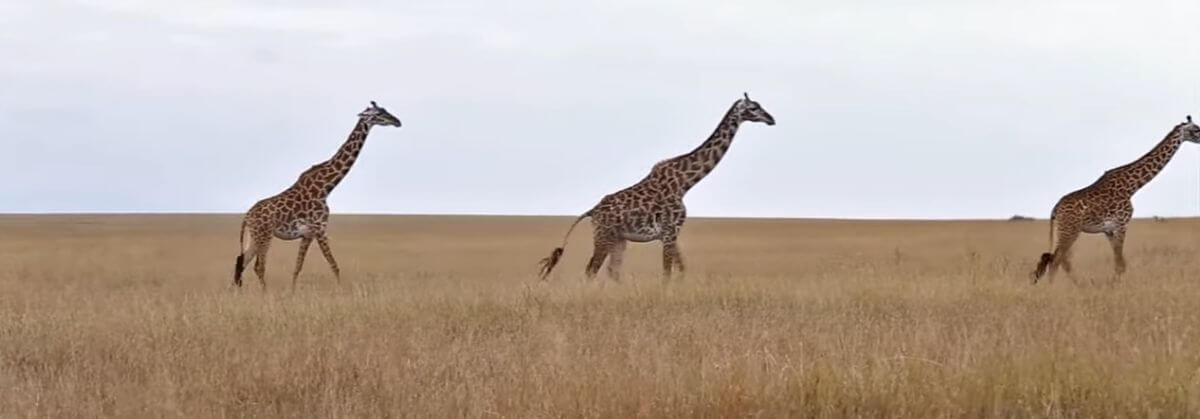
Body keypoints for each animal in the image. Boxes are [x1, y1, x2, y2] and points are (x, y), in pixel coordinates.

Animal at [232, 102, 403, 290]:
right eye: (379, 113)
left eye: (385, 110)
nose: (398, 121)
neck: (325, 188)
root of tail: (247, 217)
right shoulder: (320, 228)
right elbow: (334, 264)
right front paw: (340, 290)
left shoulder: (308, 234)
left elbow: (298, 267)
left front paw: (292, 292)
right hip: (264, 235)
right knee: (258, 266)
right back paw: (264, 293)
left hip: (254, 236)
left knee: (241, 260)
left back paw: (236, 292)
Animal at [537, 92, 777, 278]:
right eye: (754, 107)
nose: (771, 119)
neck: (684, 184)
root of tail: (592, 211)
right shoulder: (670, 231)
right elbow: (667, 273)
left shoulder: (672, 233)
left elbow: (681, 270)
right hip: (604, 236)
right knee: (591, 270)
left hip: (619, 239)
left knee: (612, 271)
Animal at [1032, 115, 1200, 282]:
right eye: (1196, 129)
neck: (1132, 187)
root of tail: (1055, 209)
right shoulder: (1121, 224)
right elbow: (1119, 264)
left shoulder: (1109, 230)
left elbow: (1120, 263)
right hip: (1069, 230)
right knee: (1056, 261)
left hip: (1065, 230)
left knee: (1057, 259)